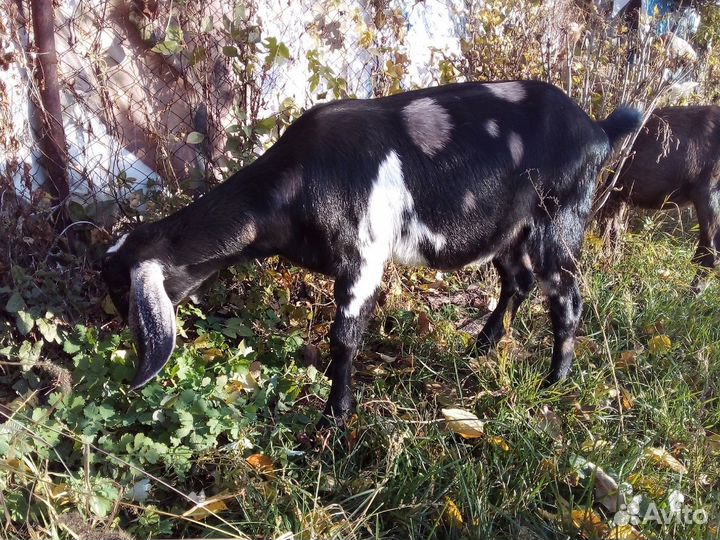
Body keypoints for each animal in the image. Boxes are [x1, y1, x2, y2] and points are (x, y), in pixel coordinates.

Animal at [102, 81, 640, 425]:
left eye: (121, 290)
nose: (114, 333)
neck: (293, 186)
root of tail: (598, 130)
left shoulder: (363, 257)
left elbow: (343, 339)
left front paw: (334, 418)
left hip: (558, 219)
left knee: (566, 297)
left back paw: (553, 382)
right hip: (507, 228)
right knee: (518, 280)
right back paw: (482, 347)